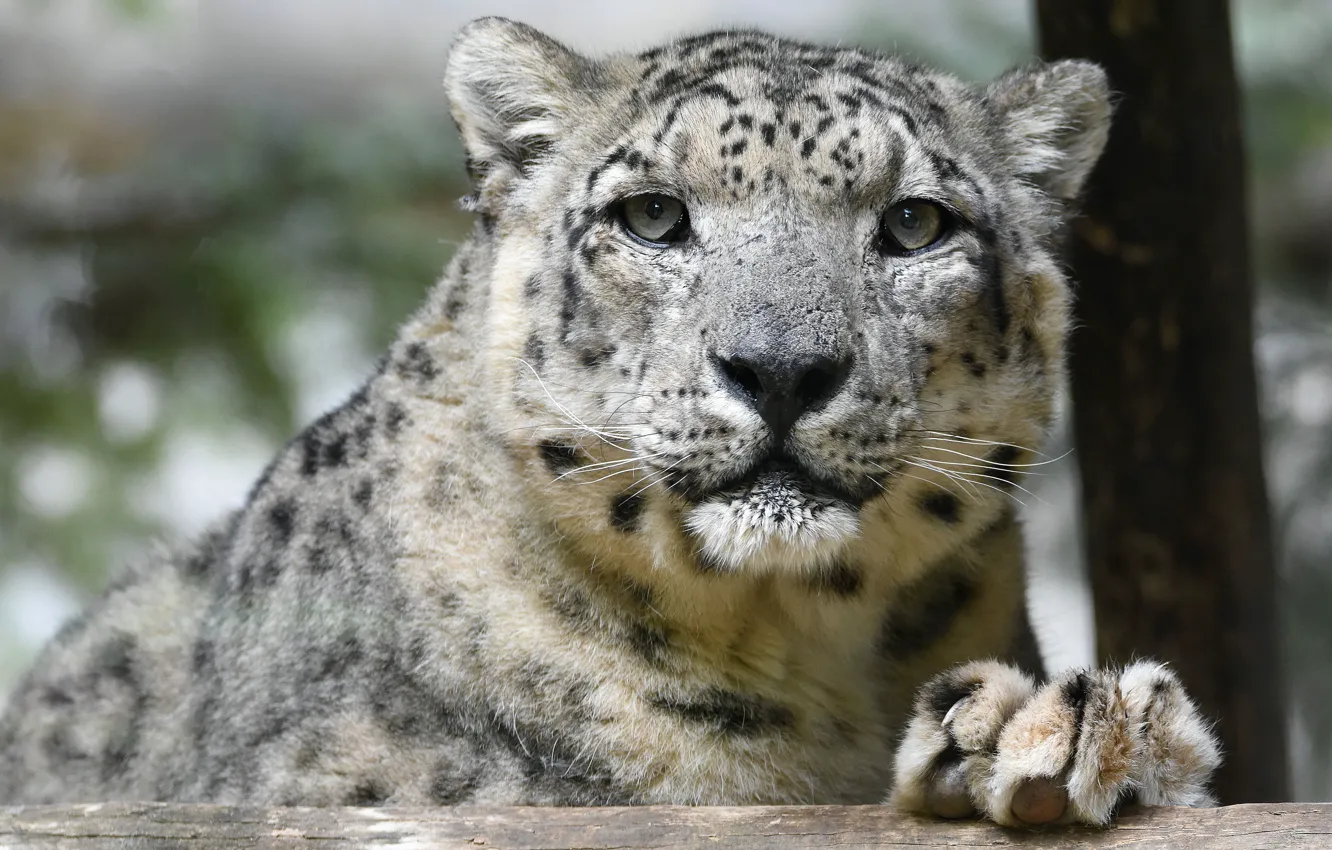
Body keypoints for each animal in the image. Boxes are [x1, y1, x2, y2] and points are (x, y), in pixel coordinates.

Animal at [0, 17, 1221, 826]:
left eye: (917, 223)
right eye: (651, 216)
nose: (782, 369)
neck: (810, 660)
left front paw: (1066, 730)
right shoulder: (345, 776)